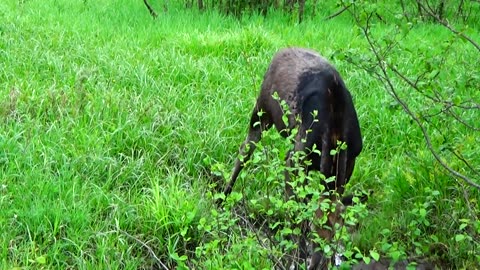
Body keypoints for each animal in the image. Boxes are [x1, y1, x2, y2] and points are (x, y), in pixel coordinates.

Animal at [219, 47, 362, 268]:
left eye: (335, 234)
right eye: (315, 233)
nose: (317, 265)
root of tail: (280, 51)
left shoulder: (348, 165)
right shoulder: (296, 159)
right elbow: (296, 215)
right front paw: (294, 257)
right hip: (261, 111)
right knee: (245, 150)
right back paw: (223, 197)